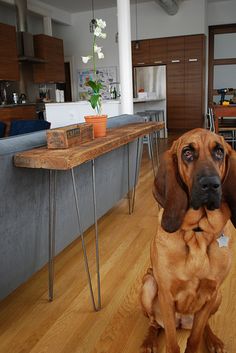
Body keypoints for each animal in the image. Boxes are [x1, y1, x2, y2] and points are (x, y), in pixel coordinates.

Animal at [140, 128, 236, 350]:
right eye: (188, 153)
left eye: (219, 152)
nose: (211, 184)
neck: (197, 232)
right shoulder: (166, 295)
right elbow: (172, 342)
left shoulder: (211, 293)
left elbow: (195, 337)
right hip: (148, 284)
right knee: (153, 323)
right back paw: (148, 341)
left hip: (218, 297)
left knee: (204, 324)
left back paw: (214, 340)